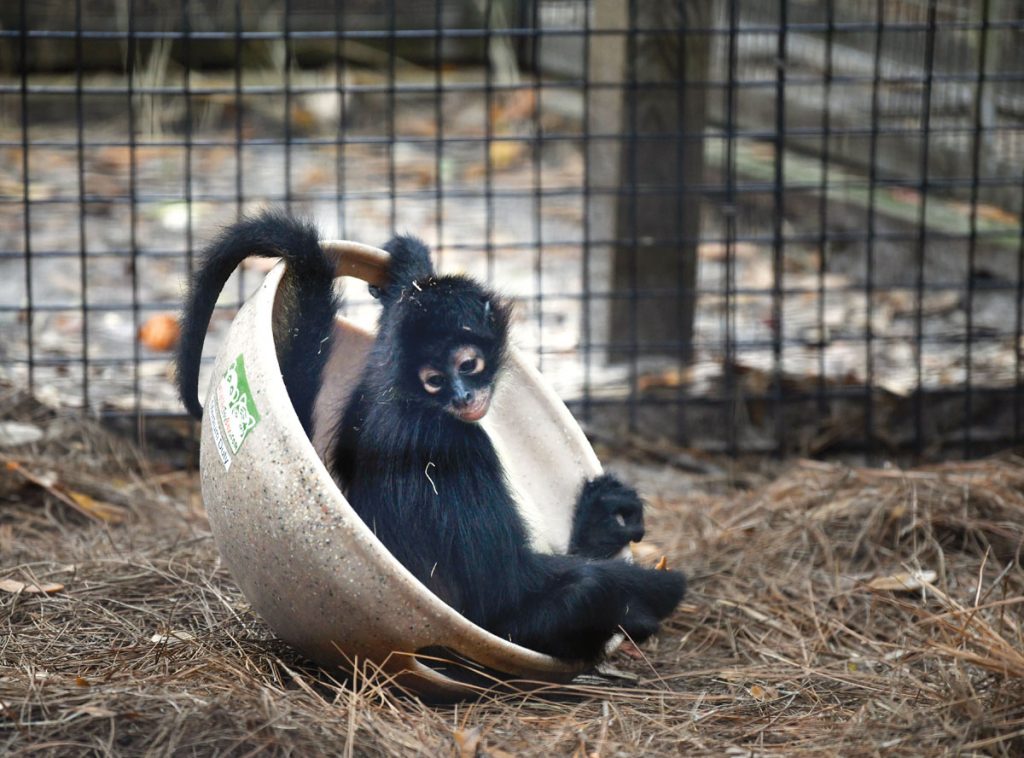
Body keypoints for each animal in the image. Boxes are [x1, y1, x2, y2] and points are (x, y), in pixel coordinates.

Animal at [177, 209, 686, 662]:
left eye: (467, 365)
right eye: (436, 381)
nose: (462, 397)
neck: (417, 401)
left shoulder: (380, 379)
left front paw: (409, 268)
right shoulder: (456, 440)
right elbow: (504, 585)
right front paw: (652, 585)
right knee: (584, 589)